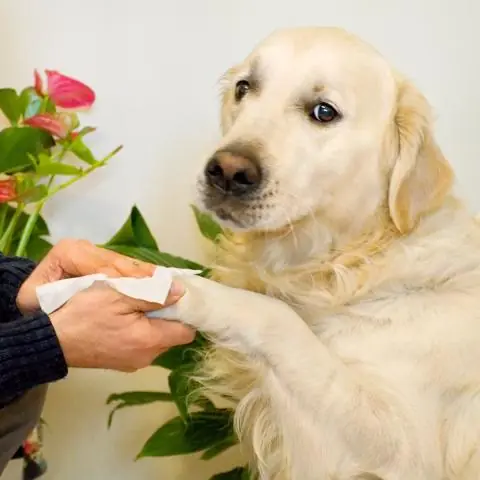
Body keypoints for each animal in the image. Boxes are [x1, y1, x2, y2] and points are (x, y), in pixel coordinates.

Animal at [162, 27, 480, 480]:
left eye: (323, 112)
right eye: (244, 88)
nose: (226, 172)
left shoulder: (398, 447)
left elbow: (278, 318)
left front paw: (179, 288)